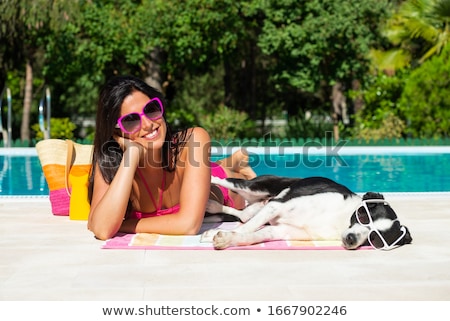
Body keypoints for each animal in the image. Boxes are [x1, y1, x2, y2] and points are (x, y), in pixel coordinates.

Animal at [202, 174, 414, 249]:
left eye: (375, 239)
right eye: (363, 216)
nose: (351, 239)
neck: (342, 220)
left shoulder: (282, 230)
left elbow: (251, 235)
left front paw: (226, 238)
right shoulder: (277, 206)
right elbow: (247, 228)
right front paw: (215, 234)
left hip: (259, 203)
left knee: (243, 215)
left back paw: (211, 206)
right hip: (254, 187)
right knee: (224, 180)